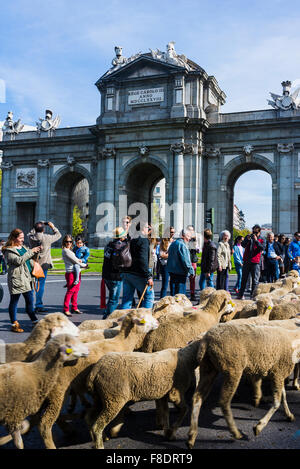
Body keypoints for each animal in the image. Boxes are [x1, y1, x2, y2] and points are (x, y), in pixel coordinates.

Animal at [29, 308, 159, 448]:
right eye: (144, 318)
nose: (157, 322)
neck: (122, 342)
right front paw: (113, 429)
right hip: (58, 392)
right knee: (45, 424)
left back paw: (69, 429)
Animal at [186, 320, 300, 448]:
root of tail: (206, 340)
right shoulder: (278, 373)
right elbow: (277, 402)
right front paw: (259, 427)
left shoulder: (278, 373)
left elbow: (284, 397)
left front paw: (289, 415)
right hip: (232, 368)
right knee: (224, 402)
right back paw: (235, 432)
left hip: (208, 367)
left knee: (197, 398)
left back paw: (191, 436)